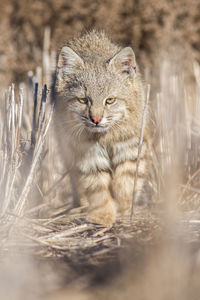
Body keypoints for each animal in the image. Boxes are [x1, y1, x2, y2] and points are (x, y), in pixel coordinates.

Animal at [54, 30, 149, 225]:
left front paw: (124, 209)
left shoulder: (130, 148)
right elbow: (97, 188)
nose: (96, 119)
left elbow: (126, 182)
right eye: (83, 100)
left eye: (110, 100)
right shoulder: (88, 154)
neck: (105, 136)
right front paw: (103, 216)